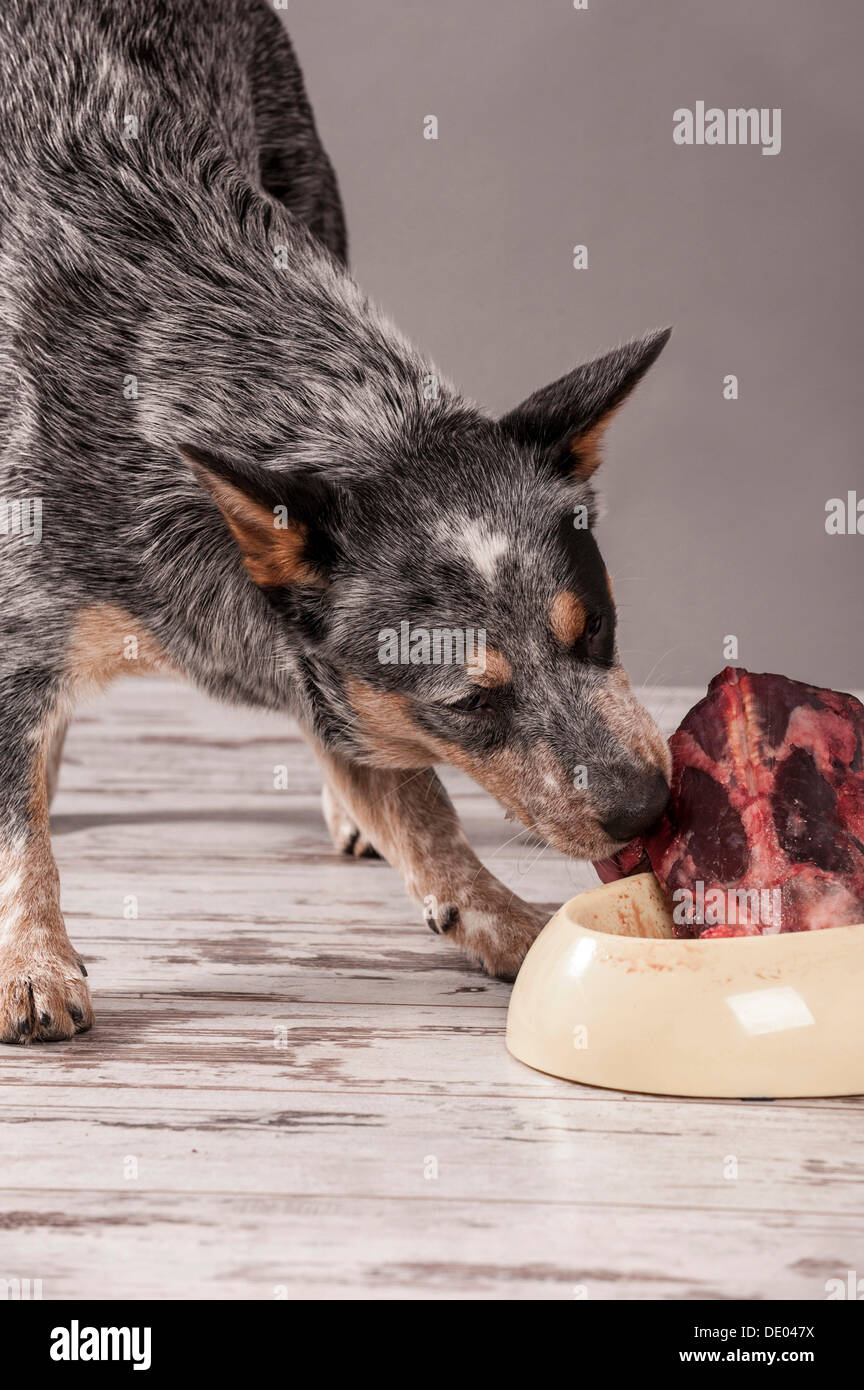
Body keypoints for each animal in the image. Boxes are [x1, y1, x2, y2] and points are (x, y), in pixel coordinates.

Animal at [0, 0, 675, 1045]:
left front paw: (503, 921)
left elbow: (414, 797)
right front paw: (31, 960)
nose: (649, 808)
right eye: (469, 704)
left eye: (597, 628)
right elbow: (15, 819)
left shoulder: (315, 658)